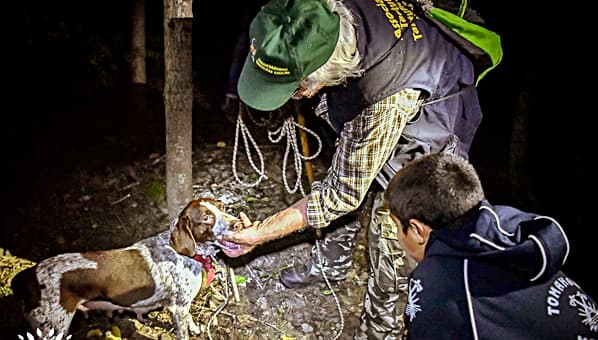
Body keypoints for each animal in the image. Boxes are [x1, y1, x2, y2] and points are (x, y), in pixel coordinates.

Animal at [11, 198, 241, 338]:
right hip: (53, 327)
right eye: (206, 218)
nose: (238, 224)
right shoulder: (178, 307)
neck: (183, 253)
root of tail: (27, 276)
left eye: (222, 207)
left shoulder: (183, 307)